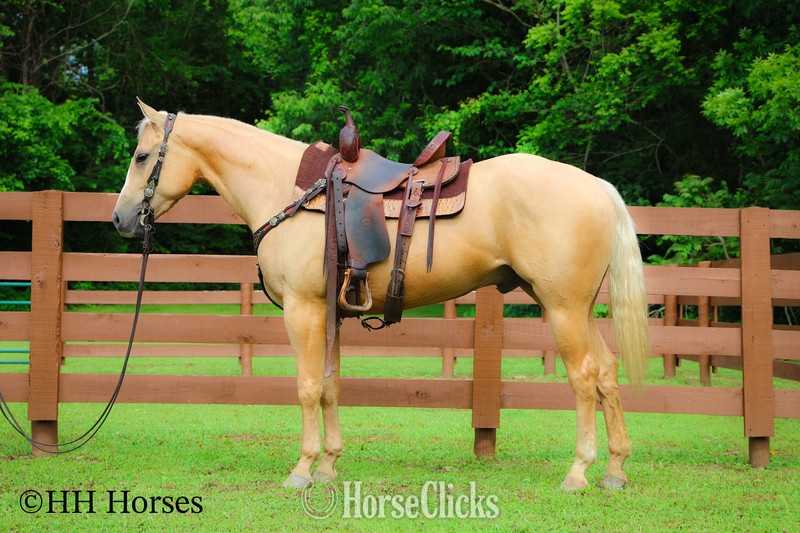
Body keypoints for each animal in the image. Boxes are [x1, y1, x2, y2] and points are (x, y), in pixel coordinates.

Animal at [113, 99, 650, 491]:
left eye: (142, 157)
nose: (120, 219)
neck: (289, 191)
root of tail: (597, 186)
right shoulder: (329, 314)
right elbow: (330, 386)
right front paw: (328, 465)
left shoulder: (303, 311)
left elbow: (308, 387)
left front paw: (302, 470)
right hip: (579, 309)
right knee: (607, 373)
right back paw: (615, 470)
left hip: (562, 309)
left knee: (584, 377)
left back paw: (579, 472)